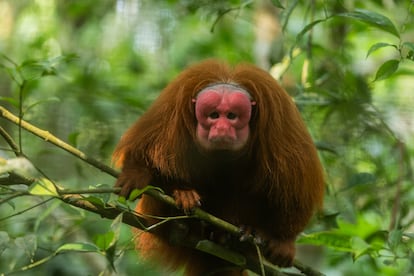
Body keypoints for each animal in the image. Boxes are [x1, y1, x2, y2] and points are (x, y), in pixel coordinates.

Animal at [112, 59, 324, 274]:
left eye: (231, 116)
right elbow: (147, 150)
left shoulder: (278, 117)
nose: (221, 128)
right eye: (214, 115)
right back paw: (182, 222)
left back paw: (235, 237)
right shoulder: (172, 105)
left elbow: (295, 181)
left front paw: (284, 240)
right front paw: (137, 173)